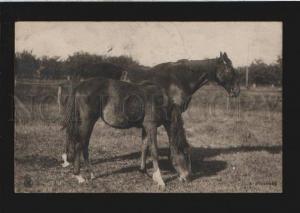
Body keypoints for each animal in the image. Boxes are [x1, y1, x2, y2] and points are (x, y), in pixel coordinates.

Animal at [61, 77, 191, 187]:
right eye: (184, 153)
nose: (186, 176)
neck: (159, 99)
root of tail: (80, 86)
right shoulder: (151, 127)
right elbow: (154, 151)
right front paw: (159, 179)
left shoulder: (145, 128)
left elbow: (144, 147)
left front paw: (144, 171)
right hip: (87, 122)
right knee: (79, 145)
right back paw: (79, 176)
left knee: (84, 145)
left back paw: (92, 174)